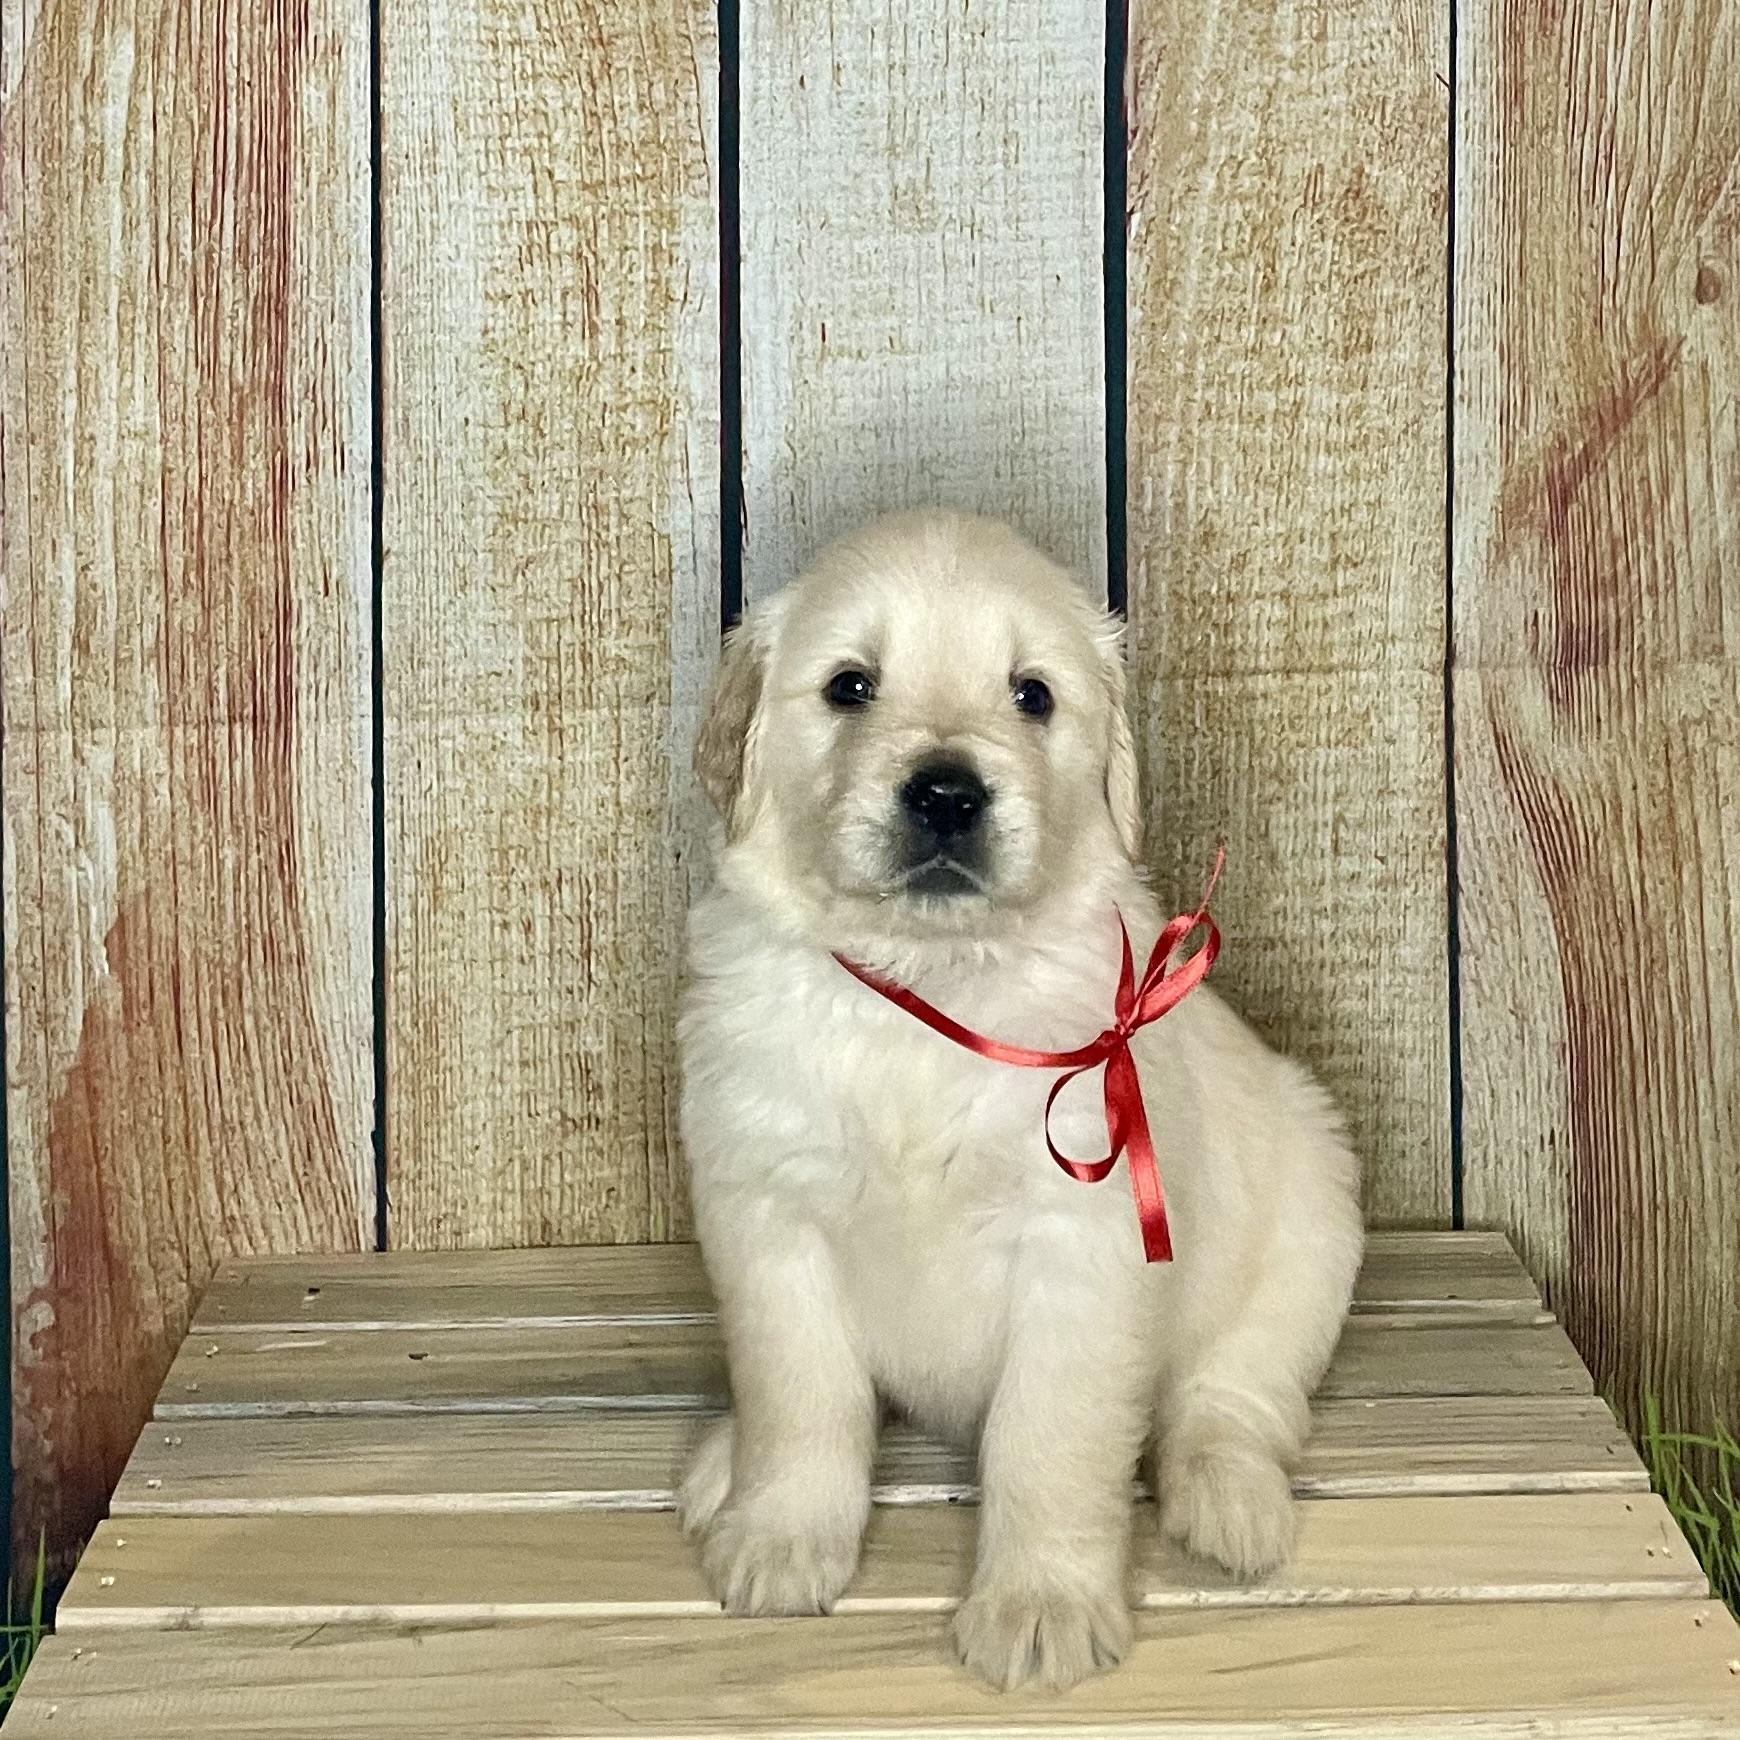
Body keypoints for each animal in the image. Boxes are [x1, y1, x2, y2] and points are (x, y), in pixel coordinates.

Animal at [676, 509, 1362, 1691]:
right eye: (850, 686)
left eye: (1032, 694)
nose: (948, 793)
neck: (935, 983)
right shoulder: (765, 1212)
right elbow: (799, 1396)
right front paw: (779, 1536)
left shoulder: (1084, 1247)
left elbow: (1050, 1439)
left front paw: (1040, 1604)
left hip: (1312, 1216)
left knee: (1234, 1391)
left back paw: (1230, 1499)